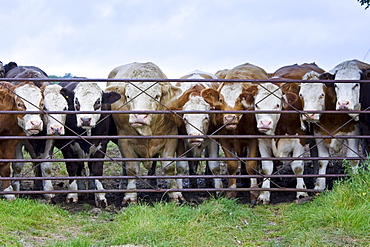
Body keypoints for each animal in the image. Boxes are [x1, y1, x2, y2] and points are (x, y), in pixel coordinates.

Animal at [105, 61, 184, 205]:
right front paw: (130, 196)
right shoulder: (124, 140)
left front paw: (175, 194)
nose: (140, 117)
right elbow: (131, 169)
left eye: (156, 96)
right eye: (128, 96)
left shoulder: (171, 137)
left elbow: (168, 167)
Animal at [201, 62, 268, 205]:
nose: (230, 118)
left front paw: (254, 193)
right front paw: (231, 192)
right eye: (221, 99)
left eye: (240, 98)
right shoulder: (224, 140)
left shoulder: (253, 139)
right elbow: (232, 165)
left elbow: (251, 165)